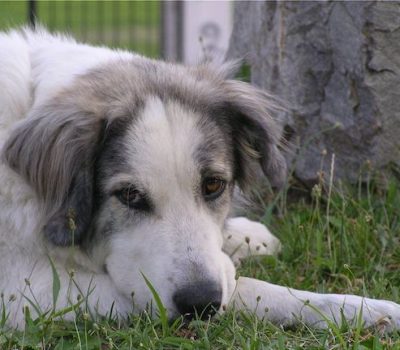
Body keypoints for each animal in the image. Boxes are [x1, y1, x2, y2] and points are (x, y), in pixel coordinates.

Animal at [0, 28, 400, 330]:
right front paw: (364, 311)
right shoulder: (27, 289)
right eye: (129, 195)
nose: (200, 303)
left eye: (213, 185)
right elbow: (246, 288)